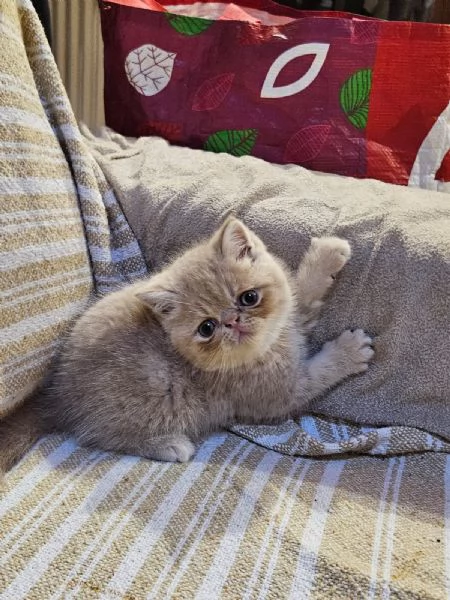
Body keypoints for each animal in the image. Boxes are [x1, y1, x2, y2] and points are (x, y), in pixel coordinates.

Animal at [0, 218, 372, 472]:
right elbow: (319, 374)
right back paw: (168, 444)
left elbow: (300, 294)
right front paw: (349, 352)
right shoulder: (280, 394)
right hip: (145, 395)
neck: (271, 346)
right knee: (99, 434)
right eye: (207, 328)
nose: (232, 322)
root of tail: (56, 393)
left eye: (249, 298)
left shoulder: (292, 321)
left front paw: (327, 255)